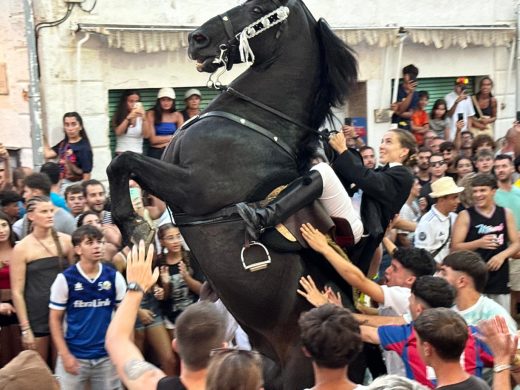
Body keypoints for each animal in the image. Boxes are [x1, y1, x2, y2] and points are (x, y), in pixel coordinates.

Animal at [105, 1, 358, 388]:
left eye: (258, 7)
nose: (197, 39)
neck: (256, 123)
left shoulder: (193, 188)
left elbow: (123, 161)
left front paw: (135, 227)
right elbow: (119, 164)